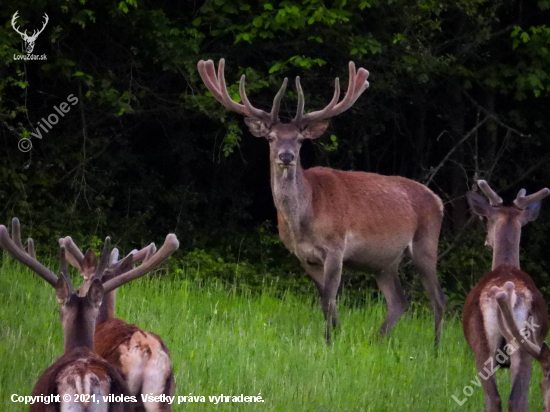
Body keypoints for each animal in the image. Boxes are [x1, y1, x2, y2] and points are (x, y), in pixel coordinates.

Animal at [198, 58, 448, 346]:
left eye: (299, 139)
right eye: (271, 138)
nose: (286, 156)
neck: (304, 220)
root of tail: (439, 201)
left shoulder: (336, 247)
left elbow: (328, 300)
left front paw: (328, 341)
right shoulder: (304, 257)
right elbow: (327, 302)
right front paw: (337, 336)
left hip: (426, 242)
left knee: (438, 298)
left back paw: (436, 348)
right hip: (385, 261)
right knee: (398, 300)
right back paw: (376, 341)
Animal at [466, 181, 550, 412]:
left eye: (487, 221)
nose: (487, 241)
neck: (505, 265)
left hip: (486, 341)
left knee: (499, 397)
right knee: (511, 398)